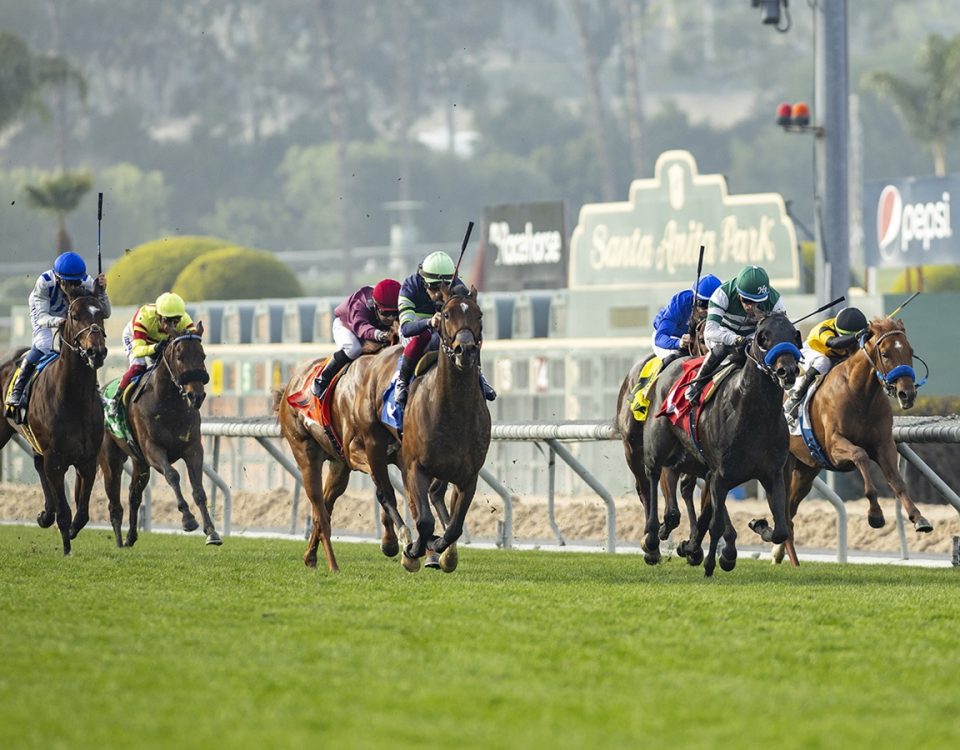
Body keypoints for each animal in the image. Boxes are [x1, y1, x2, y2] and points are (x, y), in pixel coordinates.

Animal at [0, 290, 108, 556]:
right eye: (75, 316)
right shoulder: (56, 461)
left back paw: (45, 514)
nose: (96, 352)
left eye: (101, 313)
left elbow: (82, 513)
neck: (73, 398)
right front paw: (67, 548)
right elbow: (65, 511)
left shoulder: (87, 461)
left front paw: (68, 529)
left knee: (38, 465)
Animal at [97, 324, 221, 548]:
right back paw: (119, 541)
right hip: (110, 458)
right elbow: (172, 475)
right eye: (179, 357)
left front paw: (211, 532)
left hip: (139, 462)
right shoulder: (153, 450)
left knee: (134, 494)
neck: (168, 403)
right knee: (114, 501)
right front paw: (188, 519)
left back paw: (130, 537)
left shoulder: (192, 448)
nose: (196, 396)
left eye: (203, 355)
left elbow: (198, 489)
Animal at [644, 314, 804, 580]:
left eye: (793, 334)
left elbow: (780, 529)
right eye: (763, 337)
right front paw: (712, 562)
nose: (787, 370)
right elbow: (715, 523)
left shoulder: (772, 474)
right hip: (658, 447)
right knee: (652, 476)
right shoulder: (720, 475)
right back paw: (652, 538)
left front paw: (758, 524)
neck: (754, 414)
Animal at [756, 314, 928, 568]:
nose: (907, 394)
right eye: (885, 353)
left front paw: (919, 518)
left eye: (909, 350)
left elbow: (897, 481)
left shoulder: (884, 444)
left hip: (806, 471)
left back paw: (782, 555)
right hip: (784, 467)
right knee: (784, 510)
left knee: (790, 511)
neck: (860, 393)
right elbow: (860, 455)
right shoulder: (834, 448)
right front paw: (875, 515)